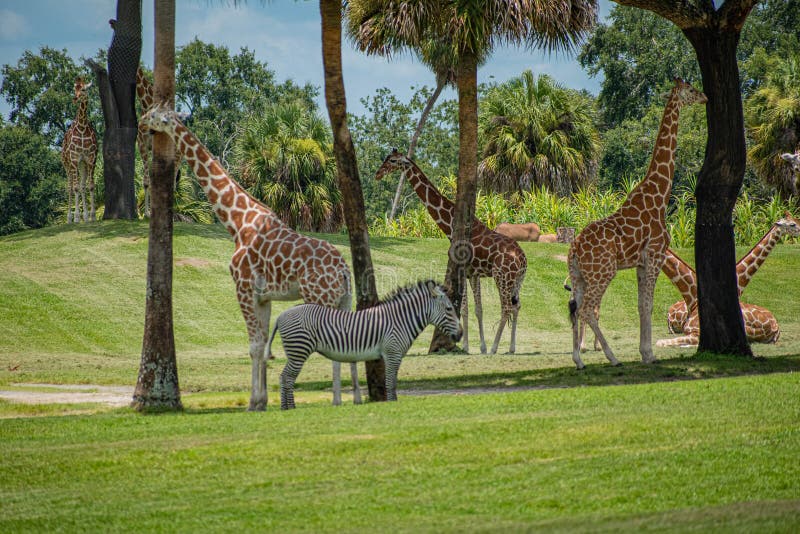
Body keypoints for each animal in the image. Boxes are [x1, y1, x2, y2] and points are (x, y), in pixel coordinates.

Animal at [141, 105, 360, 414]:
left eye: (155, 115)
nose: (141, 122)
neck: (237, 220)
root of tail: (343, 270)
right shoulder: (264, 296)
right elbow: (264, 345)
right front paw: (263, 401)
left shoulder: (243, 287)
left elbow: (255, 346)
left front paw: (253, 403)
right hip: (344, 299)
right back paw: (356, 397)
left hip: (320, 297)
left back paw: (338, 399)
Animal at [268, 280, 462, 410]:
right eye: (449, 309)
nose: (460, 334)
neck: (400, 320)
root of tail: (281, 316)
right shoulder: (392, 353)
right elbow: (390, 381)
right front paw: (392, 403)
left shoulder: (392, 355)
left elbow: (391, 381)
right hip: (299, 351)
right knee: (286, 378)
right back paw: (288, 408)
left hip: (296, 352)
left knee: (285, 377)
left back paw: (288, 408)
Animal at [376, 150, 532, 356]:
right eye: (385, 159)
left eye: (393, 161)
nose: (378, 174)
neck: (450, 227)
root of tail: (523, 260)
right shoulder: (473, 274)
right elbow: (477, 309)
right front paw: (478, 347)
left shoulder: (463, 269)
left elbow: (464, 308)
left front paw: (469, 346)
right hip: (517, 280)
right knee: (517, 306)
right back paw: (511, 348)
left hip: (502, 276)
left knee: (506, 307)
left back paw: (495, 348)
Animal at [568, 79, 708, 370]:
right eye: (691, 89)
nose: (706, 97)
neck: (660, 193)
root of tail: (573, 249)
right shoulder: (655, 255)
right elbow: (648, 305)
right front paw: (648, 354)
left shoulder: (641, 263)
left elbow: (641, 305)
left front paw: (645, 352)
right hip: (603, 272)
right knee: (587, 309)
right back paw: (612, 357)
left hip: (578, 276)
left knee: (575, 309)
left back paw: (578, 360)